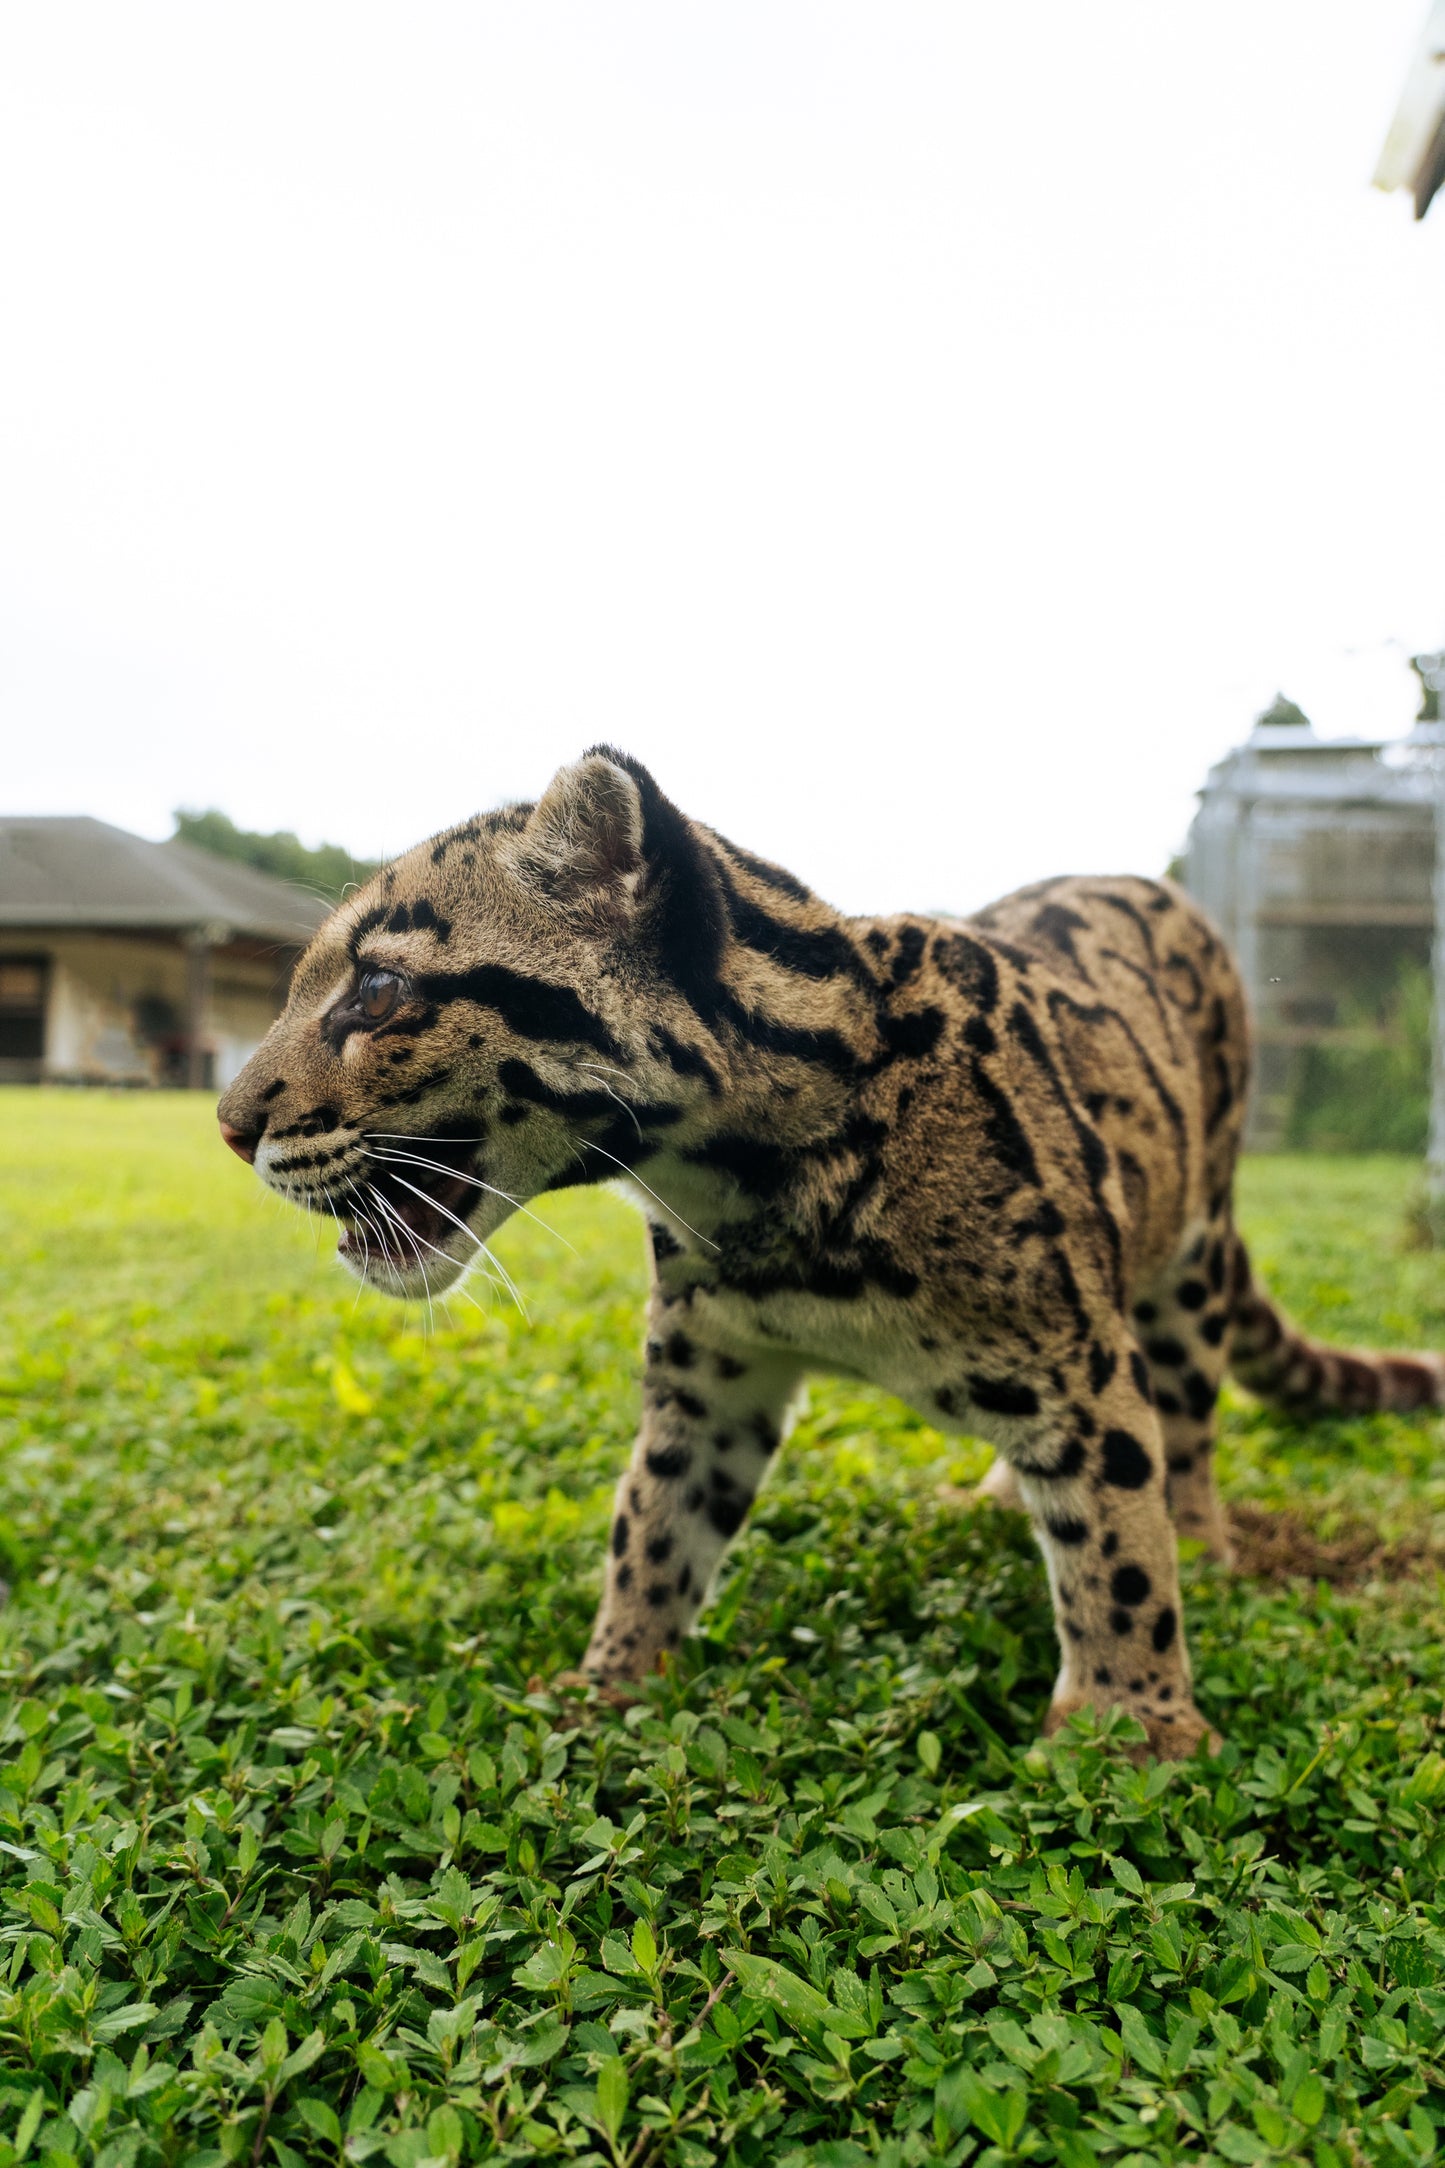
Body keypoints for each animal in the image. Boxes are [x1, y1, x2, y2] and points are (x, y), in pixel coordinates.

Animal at [217, 749, 1445, 1759]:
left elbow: (1119, 1546)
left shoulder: (1083, 1364)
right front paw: (608, 1684)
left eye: (377, 990)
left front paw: (1132, 1733)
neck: (753, 1189)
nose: (229, 1125)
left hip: (1186, 1255)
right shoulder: (704, 1376)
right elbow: (650, 1527)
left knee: (1181, 1422)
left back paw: (1199, 1532)